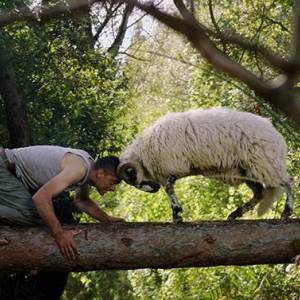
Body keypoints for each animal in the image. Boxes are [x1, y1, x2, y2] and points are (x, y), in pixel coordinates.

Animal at [117, 108, 292, 223]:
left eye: (132, 176)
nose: (154, 190)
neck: (143, 153)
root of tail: (277, 136)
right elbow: (170, 188)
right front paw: (177, 214)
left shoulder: (172, 166)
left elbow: (169, 189)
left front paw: (177, 215)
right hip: (247, 169)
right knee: (259, 193)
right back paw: (234, 214)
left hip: (265, 163)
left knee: (289, 182)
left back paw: (287, 212)